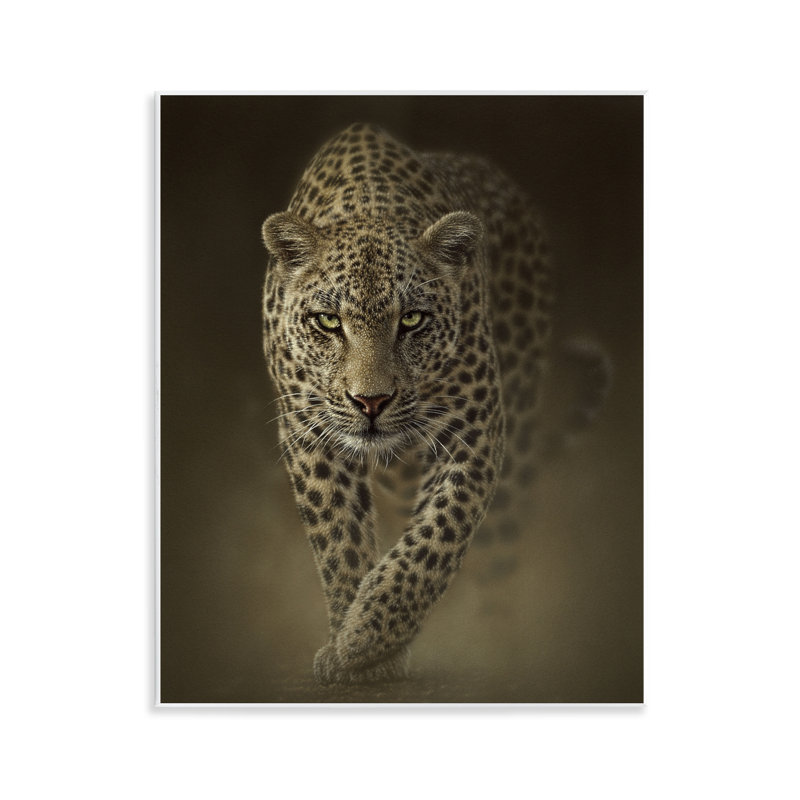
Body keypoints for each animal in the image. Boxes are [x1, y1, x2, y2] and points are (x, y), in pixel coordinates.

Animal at [260, 122, 609, 685]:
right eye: (329, 322)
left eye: (412, 320)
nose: (371, 402)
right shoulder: (307, 430)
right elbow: (338, 536)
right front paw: (355, 646)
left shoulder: (476, 426)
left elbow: (438, 537)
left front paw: (368, 639)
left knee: (499, 548)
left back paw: (497, 639)